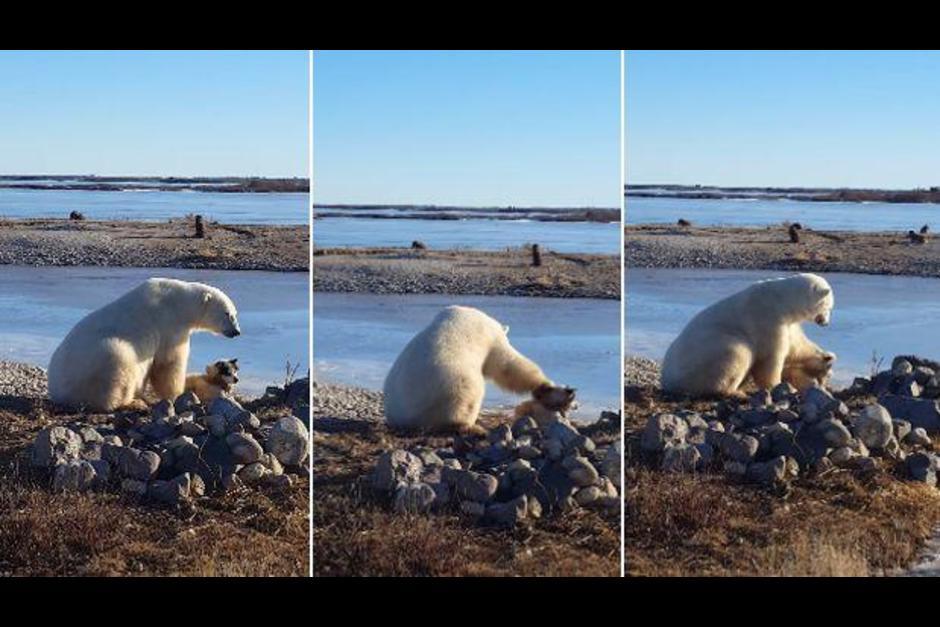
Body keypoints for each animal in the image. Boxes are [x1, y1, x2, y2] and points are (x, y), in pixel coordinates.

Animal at [48, 278, 241, 412]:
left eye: (234, 313)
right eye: (227, 313)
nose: (237, 331)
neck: (179, 302)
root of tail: (58, 392)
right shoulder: (170, 325)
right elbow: (169, 363)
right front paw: (177, 393)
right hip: (99, 361)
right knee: (117, 363)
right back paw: (133, 403)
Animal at [383, 305, 554, 433]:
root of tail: (405, 416)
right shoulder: (491, 339)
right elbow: (506, 364)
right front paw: (545, 385)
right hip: (449, 381)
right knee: (467, 393)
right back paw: (470, 426)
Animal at [660, 273, 834, 398]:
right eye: (829, 307)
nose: (826, 323)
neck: (782, 300)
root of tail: (667, 380)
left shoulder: (787, 324)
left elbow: (796, 347)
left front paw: (825, 357)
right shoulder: (768, 319)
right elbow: (770, 358)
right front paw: (780, 387)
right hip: (706, 356)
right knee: (738, 353)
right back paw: (736, 392)